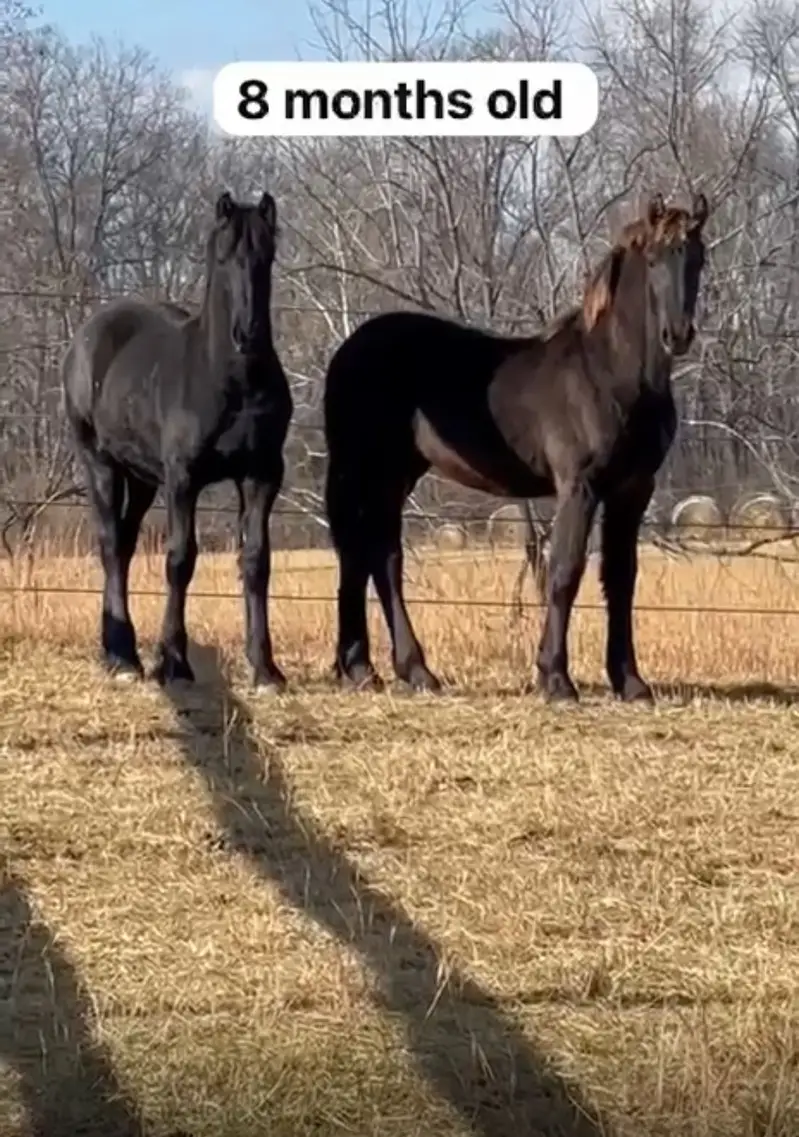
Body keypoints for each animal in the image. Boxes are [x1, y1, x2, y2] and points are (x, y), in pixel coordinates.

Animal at [61, 190, 293, 690]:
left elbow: (256, 561)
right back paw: (124, 658)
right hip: (100, 462)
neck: (231, 381)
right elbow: (181, 560)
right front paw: (174, 661)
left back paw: (115, 649)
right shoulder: (184, 479)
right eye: (223, 256)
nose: (246, 334)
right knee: (109, 542)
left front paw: (265, 668)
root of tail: (89, 333)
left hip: (143, 479)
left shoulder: (262, 475)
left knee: (124, 546)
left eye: (266, 256)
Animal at [322, 191, 709, 702]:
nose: (678, 335)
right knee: (372, 555)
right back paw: (381, 668)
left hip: (395, 474)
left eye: (699, 258)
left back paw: (387, 669)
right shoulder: (580, 487)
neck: (611, 372)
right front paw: (556, 678)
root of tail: (348, 350)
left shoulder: (633, 489)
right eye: (654, 259)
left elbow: (621, 579)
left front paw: (630, 681)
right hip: (368, 467)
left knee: (372, 554)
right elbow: (565, 573)